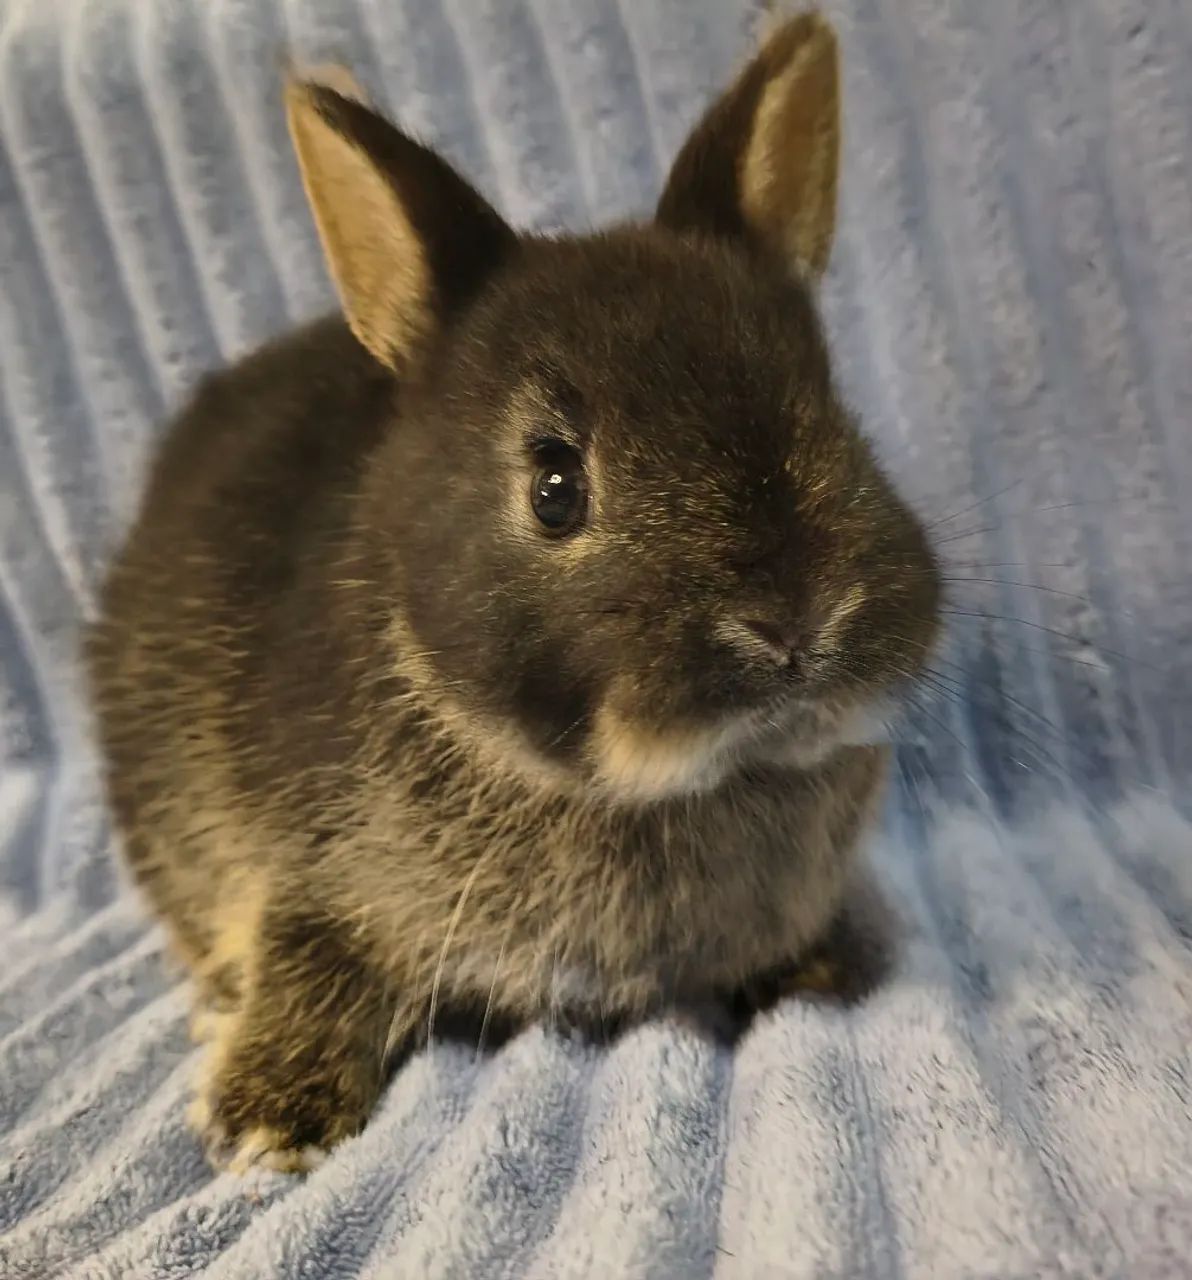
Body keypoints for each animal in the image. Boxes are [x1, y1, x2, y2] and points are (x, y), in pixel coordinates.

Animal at [87, 12, 941, 1174]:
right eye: (554, 486)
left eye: (836, 422)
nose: (794, 625)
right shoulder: (304, 869)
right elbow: (311, 953)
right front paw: (265, 1121)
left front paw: (817, 975)